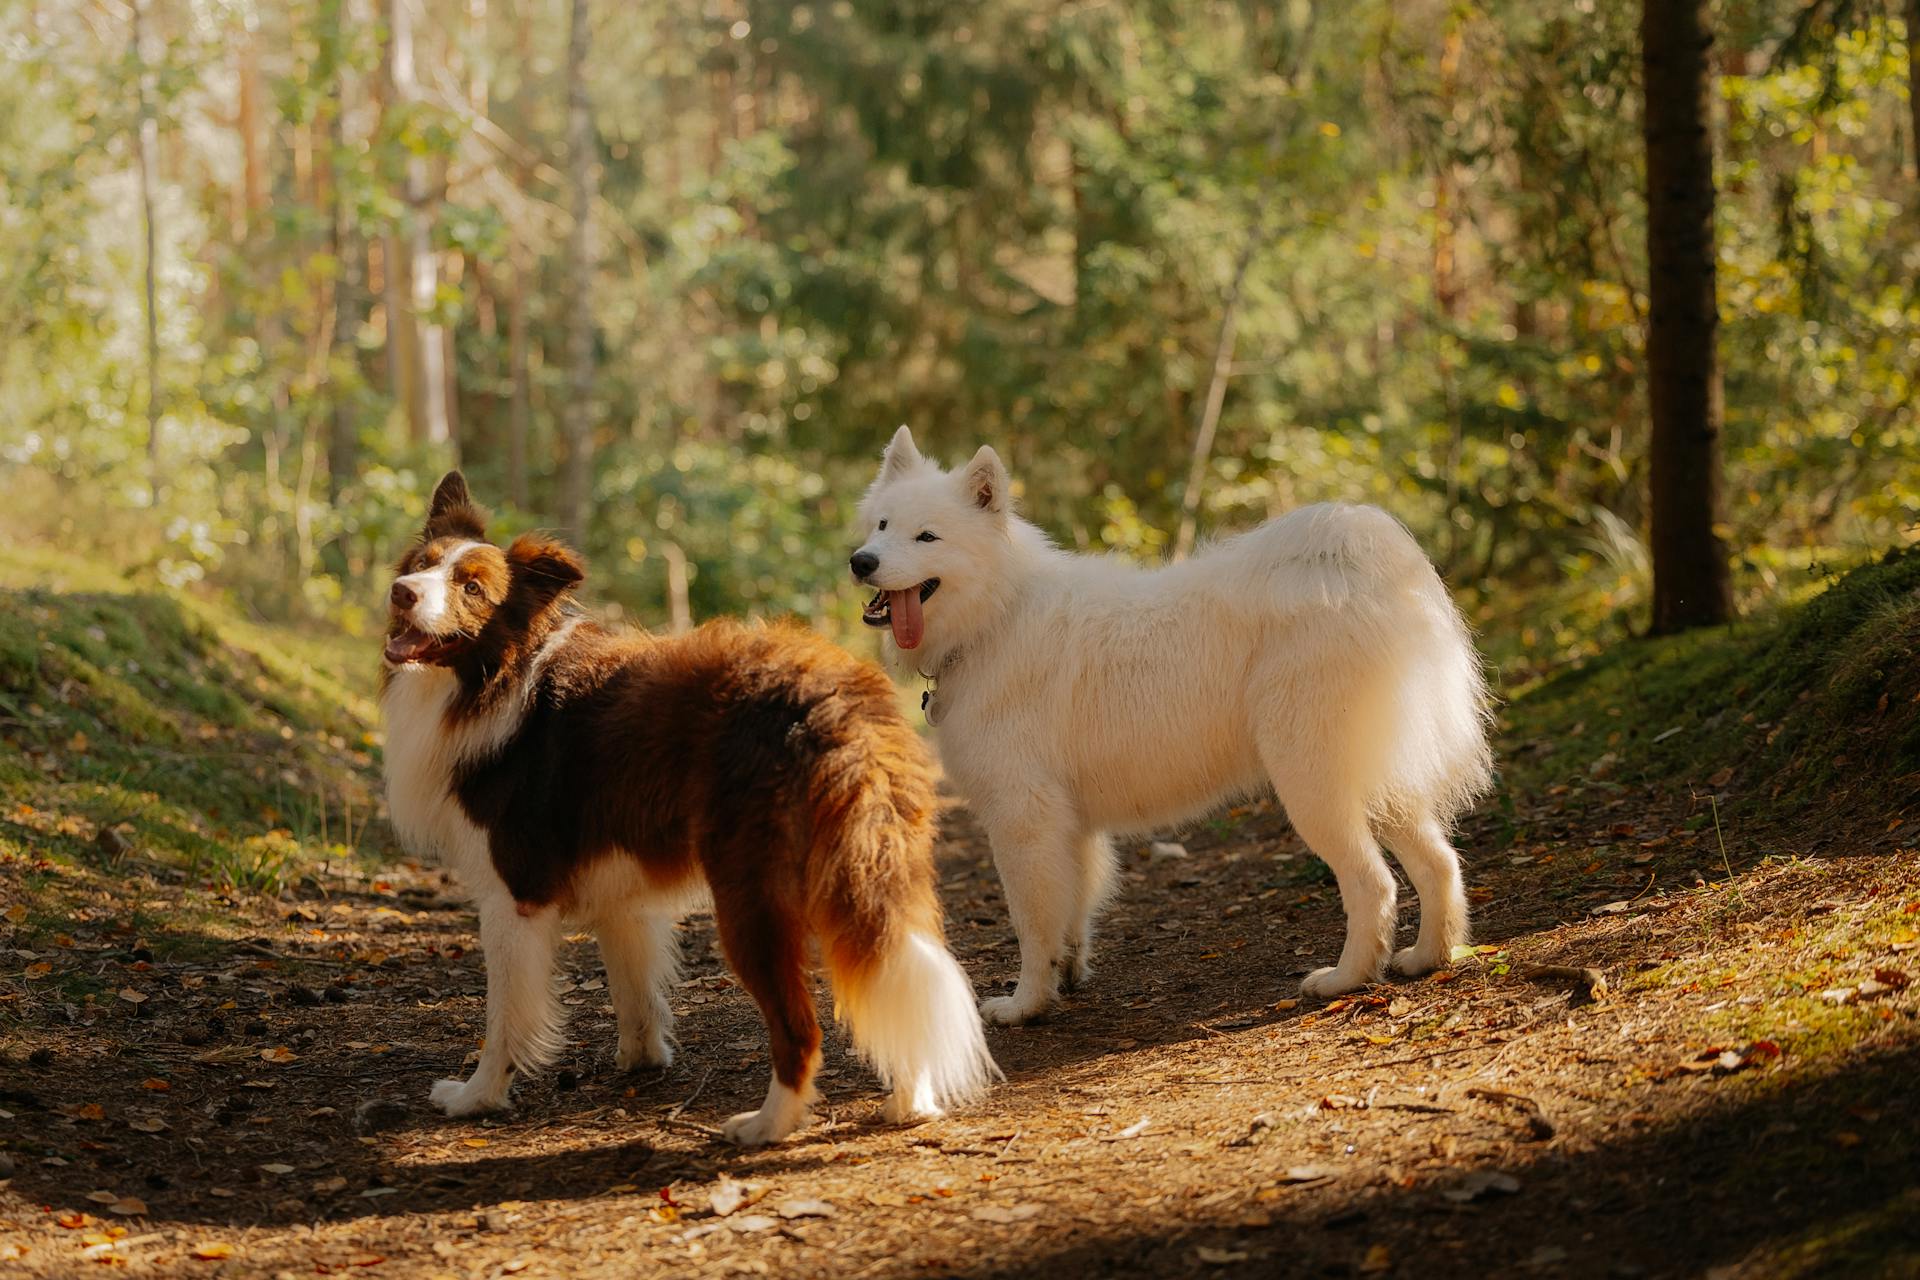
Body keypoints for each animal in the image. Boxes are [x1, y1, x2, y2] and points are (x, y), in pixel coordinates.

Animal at [380, 475, 998, 1143]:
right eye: (420, 565)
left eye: (471, 588)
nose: (401, 592)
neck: (494, 678)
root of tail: (834, 696)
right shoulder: (620, 895)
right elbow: (634, 988)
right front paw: (642, 1059)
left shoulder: (512, 896)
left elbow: (503, 1021)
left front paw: (477, 1096)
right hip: (874, 867)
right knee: (899, 970)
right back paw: (912, 1101)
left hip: (749, 893)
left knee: (800, 1028)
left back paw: (768, 1124)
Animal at [856, 426, 1497, 1028]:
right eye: (882, 525)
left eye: (927, 537)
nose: (861, 561)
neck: (996, 613)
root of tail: (1362, 565)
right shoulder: (1069, 826)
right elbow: (1072, 915)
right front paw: (1067, 980)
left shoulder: (1022, 819)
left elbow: (1033, 925)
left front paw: (1024, 1005)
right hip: (1383, 786)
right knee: (1441, 864)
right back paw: (1428, 958)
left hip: (1313, 786)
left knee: (1373, 883)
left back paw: (1345, 979)